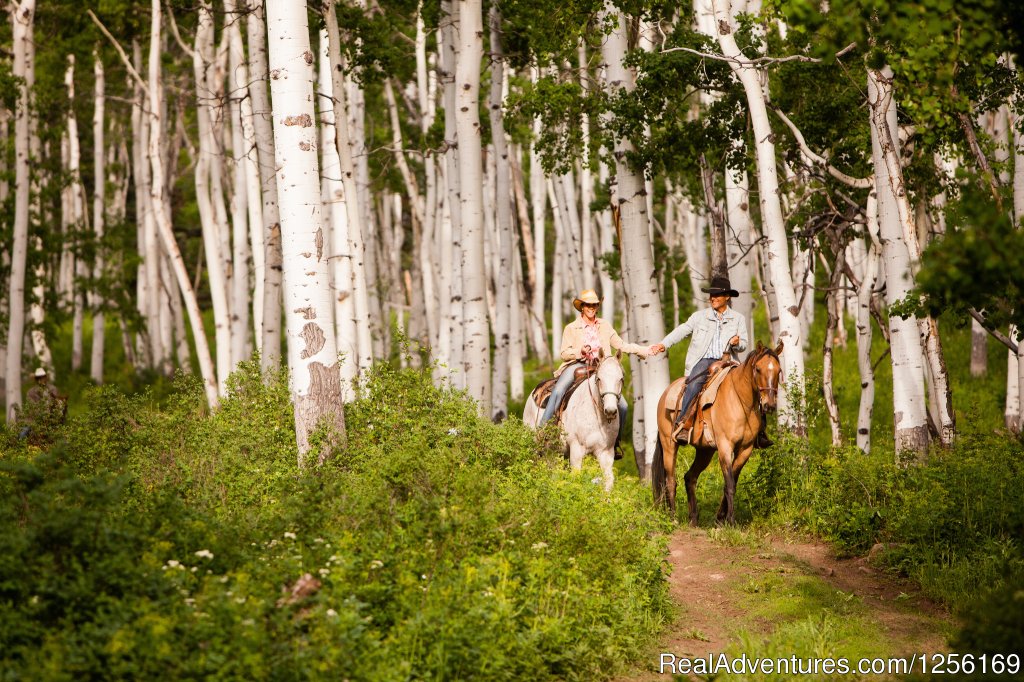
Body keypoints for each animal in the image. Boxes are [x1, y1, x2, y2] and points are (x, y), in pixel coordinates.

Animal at [528, 352, 622, 491]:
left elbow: (608, 482)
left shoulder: (606, 453)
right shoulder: (576, 450)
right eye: (599, 379)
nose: (610, 411)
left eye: (621, 379)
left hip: (554, 453)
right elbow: (576, 479)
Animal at [651, 342, 786, 522]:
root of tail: (665, 393)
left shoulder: (745, 449)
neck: (741, 402)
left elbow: (732, 481)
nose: (769, 404)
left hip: (705, 451)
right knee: (671, 481)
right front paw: (730, 520)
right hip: (669, 445)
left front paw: (721, 518)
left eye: (778, 370)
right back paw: (673, 518)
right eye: (758, 369)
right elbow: (729, 484)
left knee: (690, 477)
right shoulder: (725, 447)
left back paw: (693, 518)